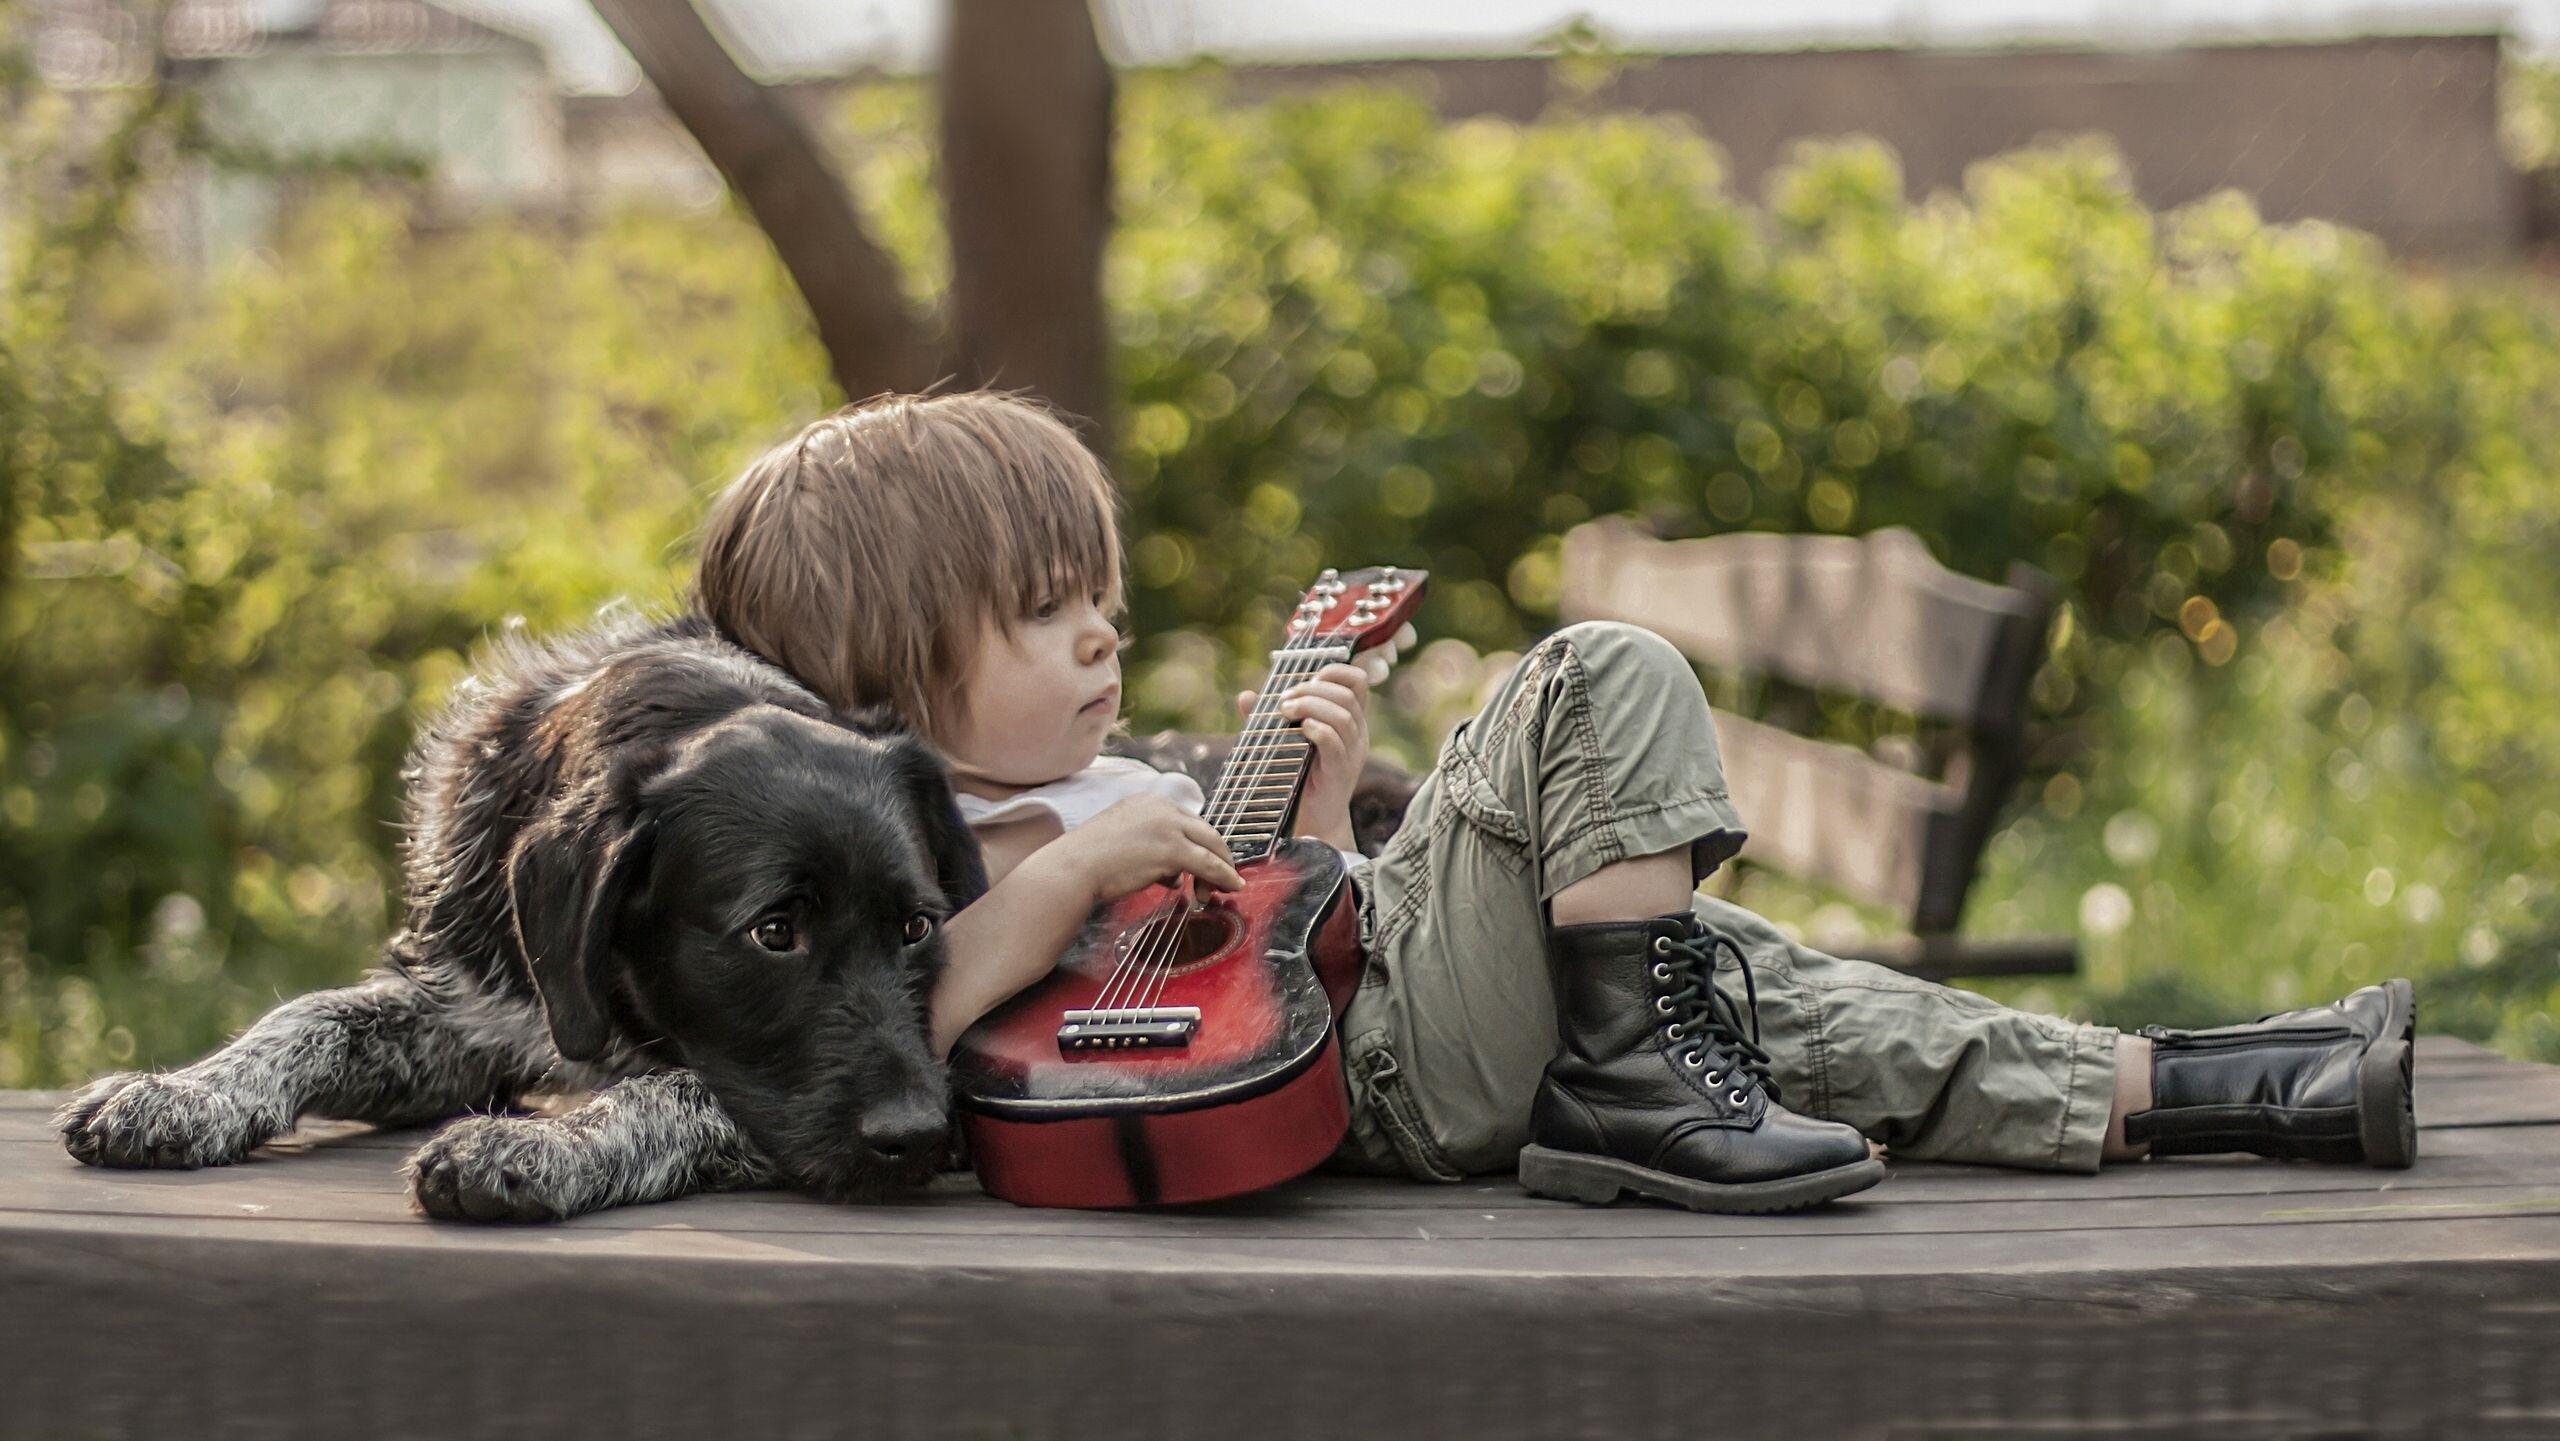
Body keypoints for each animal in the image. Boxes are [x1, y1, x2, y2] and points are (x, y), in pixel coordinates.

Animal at [62, 604, 977, 1223]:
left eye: (916, 928)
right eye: (775, 931)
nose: (925, 1134)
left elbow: (672, 1087)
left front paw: (535, 1144)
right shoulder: (464, 1019)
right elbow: (310, 1016)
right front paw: (188, 1090)